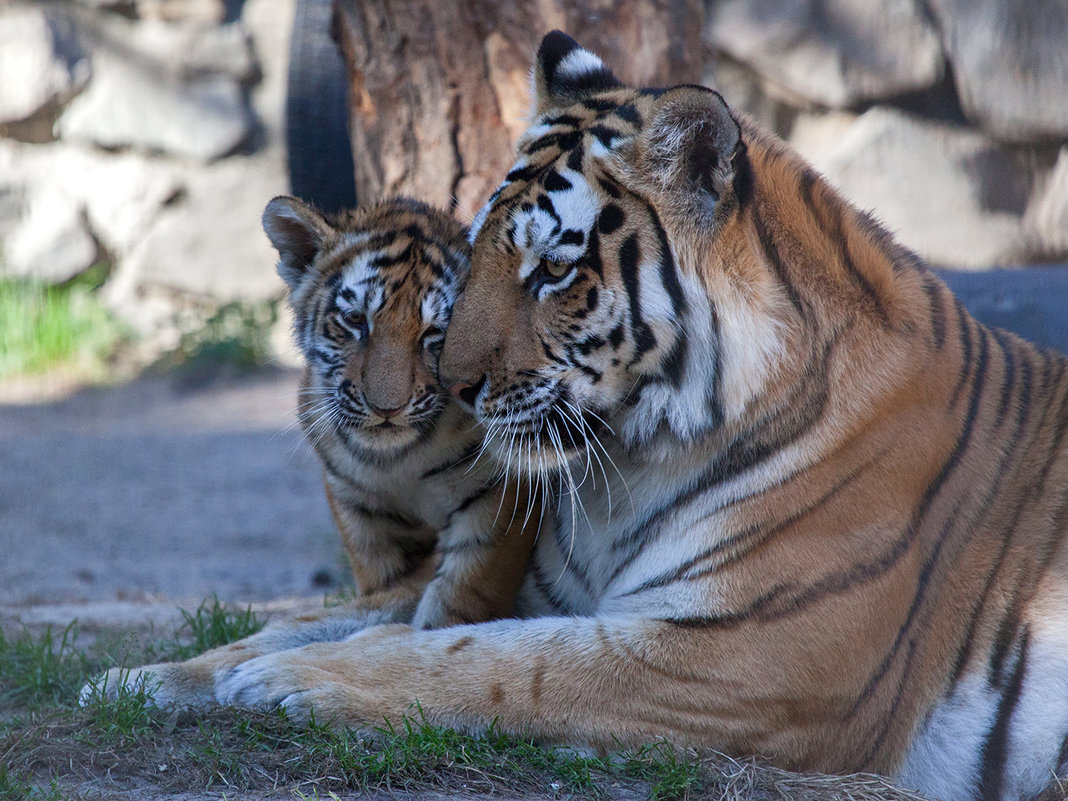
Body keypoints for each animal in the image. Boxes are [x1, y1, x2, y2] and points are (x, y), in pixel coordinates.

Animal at [212, 32, 1063, 801]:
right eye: (481, 247)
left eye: (552, 269)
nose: (453, 385)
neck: (623, 469)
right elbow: (340, 616)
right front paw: (196, 669)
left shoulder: (740, 659)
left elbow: (494, 660)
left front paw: (281, 678)